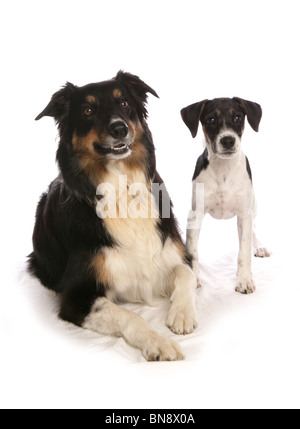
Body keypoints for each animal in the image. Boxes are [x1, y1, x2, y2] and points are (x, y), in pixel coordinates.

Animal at [28, 72, 197, 360]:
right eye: (87, 110)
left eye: (125, 103)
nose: (120, 129)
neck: (122, 189)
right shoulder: (76, 298)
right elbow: (129, 316)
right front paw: (158, 342)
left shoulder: (178, 252)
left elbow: (186, 273)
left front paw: (182, 314)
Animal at [180, 96, 272, 294]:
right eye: (211, 120)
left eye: (237, 118)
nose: (228, 140)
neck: (223, 168)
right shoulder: (195, 215)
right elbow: (192, 250)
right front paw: (194, 278)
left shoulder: (244, 214)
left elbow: (244, 250)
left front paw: (244, 280)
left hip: (253, 205)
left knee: (253, 228)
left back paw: (259, 246)